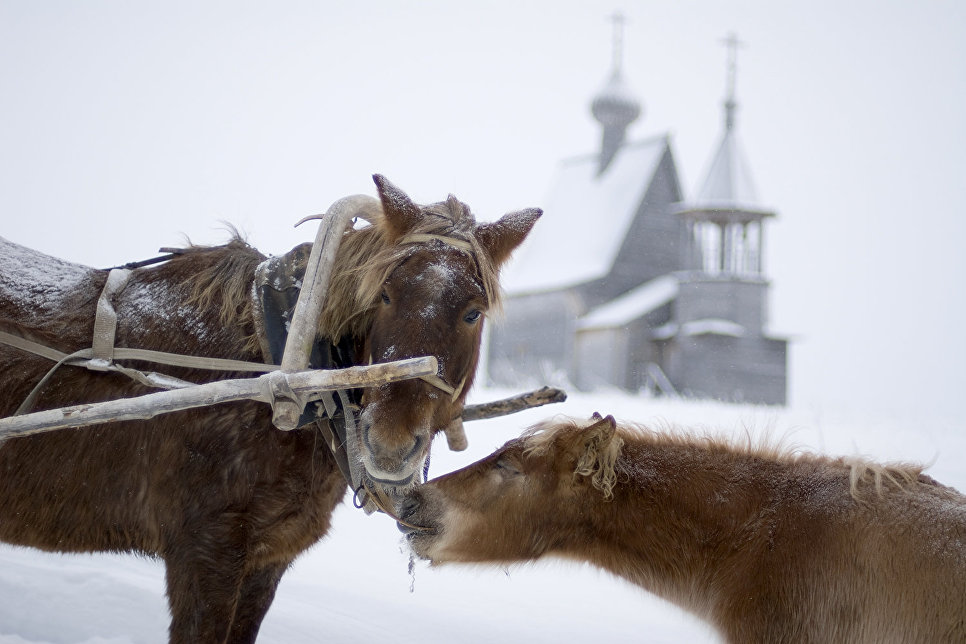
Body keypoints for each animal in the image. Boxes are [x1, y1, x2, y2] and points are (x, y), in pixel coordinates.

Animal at [0, 174, 544, 640]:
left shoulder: (267, 559)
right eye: (384, 295)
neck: (287, 372)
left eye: (472, 312)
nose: (389, 445)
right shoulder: (206, 554)